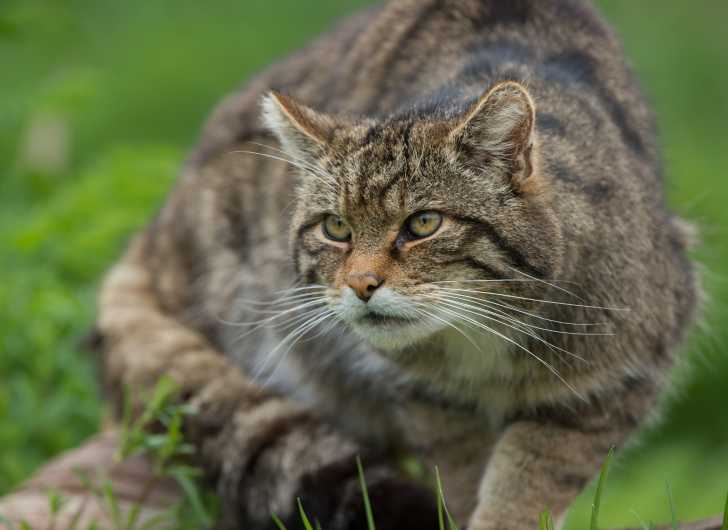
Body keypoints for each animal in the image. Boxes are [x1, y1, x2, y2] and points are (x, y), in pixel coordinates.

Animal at [92, 1, 700, 528]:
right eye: (336, 228)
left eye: (424, 223)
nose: (361, 284)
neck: (482, 338)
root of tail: (157, 227)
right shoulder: (430, 402)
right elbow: (464, 476)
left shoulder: (610, 387)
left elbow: (530, 478)